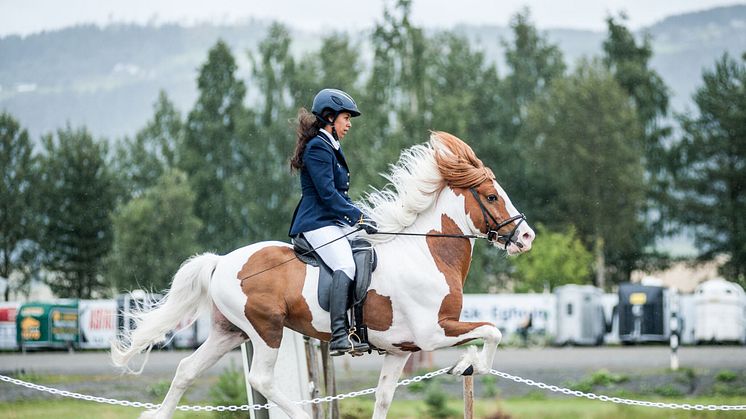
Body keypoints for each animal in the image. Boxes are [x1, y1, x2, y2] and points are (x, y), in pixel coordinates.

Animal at [109, 130, 536, 418]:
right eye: (492, 196)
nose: (526, 237)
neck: (426, 252)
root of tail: (221, 262)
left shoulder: (401, 350)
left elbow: (383, 399)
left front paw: (466, 363)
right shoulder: (434, 332)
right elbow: (492, 331)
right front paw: (469, 364)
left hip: (228, 332)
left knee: (186, 370)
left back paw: (159, 413)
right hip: (266, 329)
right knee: (261, 380)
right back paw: (299, 414)